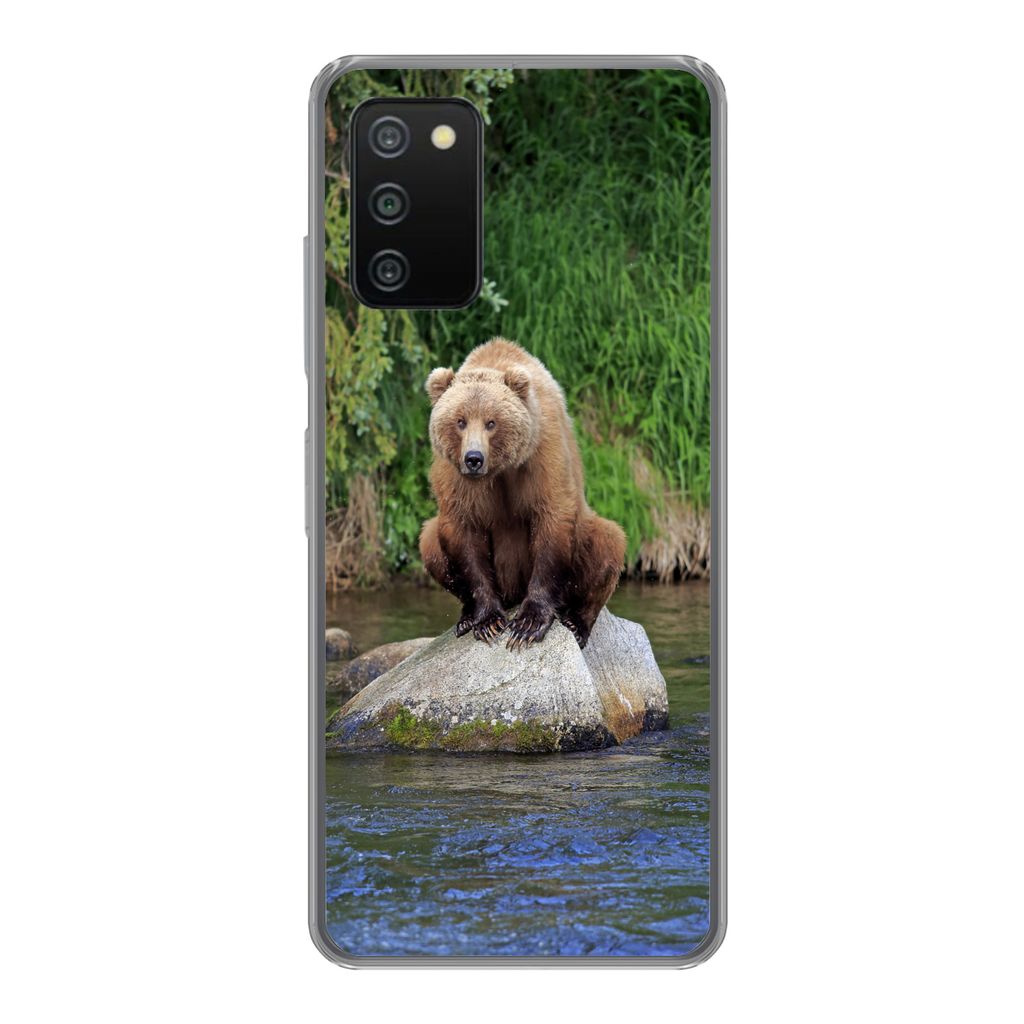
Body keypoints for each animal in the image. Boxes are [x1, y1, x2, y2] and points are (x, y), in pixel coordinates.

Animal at [418, 338, 626, 650]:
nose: (474, 458)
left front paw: (528, 624)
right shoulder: (456, 477)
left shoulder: (542, 455)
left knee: (607, 541)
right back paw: (465, 618)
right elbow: (463, 531)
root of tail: (512, 593)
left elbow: (552, 519)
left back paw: (576, 622)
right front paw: (487, 621)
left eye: (491, 422)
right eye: (460, 421)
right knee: (430, 541)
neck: (501, 470)